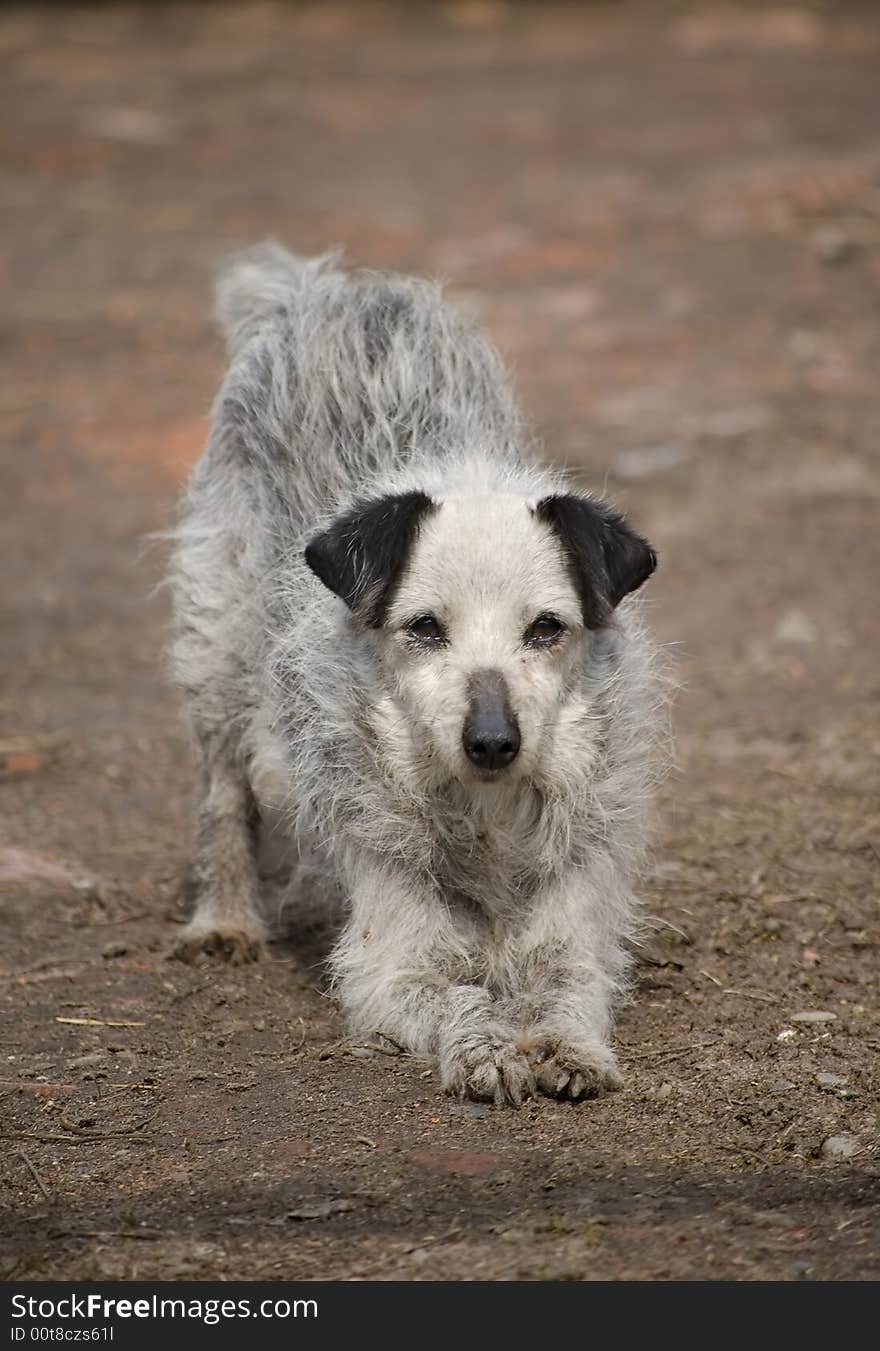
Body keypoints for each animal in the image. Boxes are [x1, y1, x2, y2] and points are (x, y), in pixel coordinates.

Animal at [168, 245, 665, 1107]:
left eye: (546, 628)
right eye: (425, 627)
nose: (493, 741)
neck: (487, 815)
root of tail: (329, 289)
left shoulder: (576, 925)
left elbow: (566, 987)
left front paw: (568, 1046)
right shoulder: (392, 959)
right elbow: (459, 994)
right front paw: (487, 1047)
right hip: (217, 656)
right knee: (223, 791)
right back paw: (225, 916)